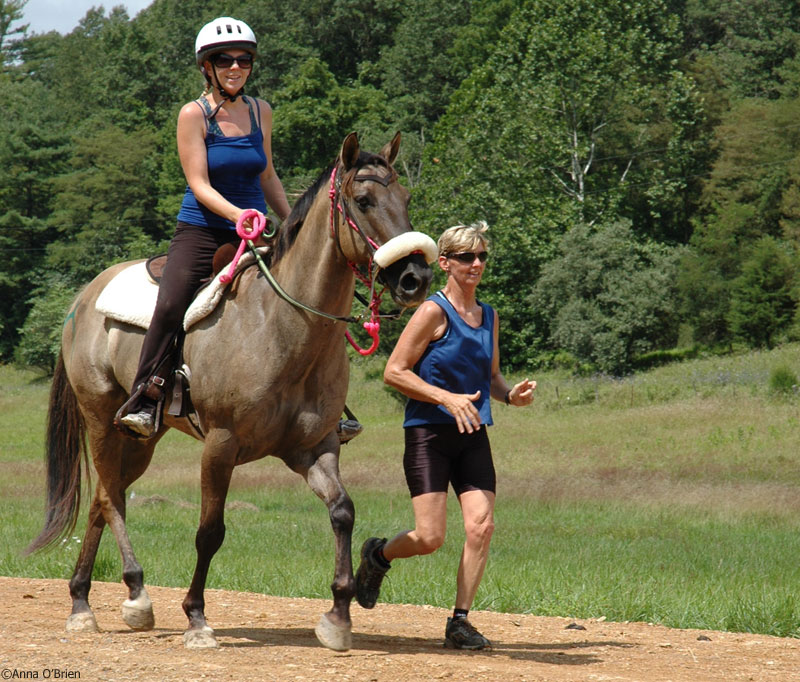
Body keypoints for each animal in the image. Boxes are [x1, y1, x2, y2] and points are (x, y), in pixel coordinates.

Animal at [26, 133, 438, 648]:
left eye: (406, 198)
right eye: (363, 201)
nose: (416, 278)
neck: (284, 327)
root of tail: (84, 297)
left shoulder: (315, 447)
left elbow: (342, 511)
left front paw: (338, 615)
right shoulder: (220, 446)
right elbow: (210, 532)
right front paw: (197, 619)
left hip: (140, 438)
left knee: (105, 495)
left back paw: (81, 601)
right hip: (101, 418)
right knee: (111, 499)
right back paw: (137, 595)